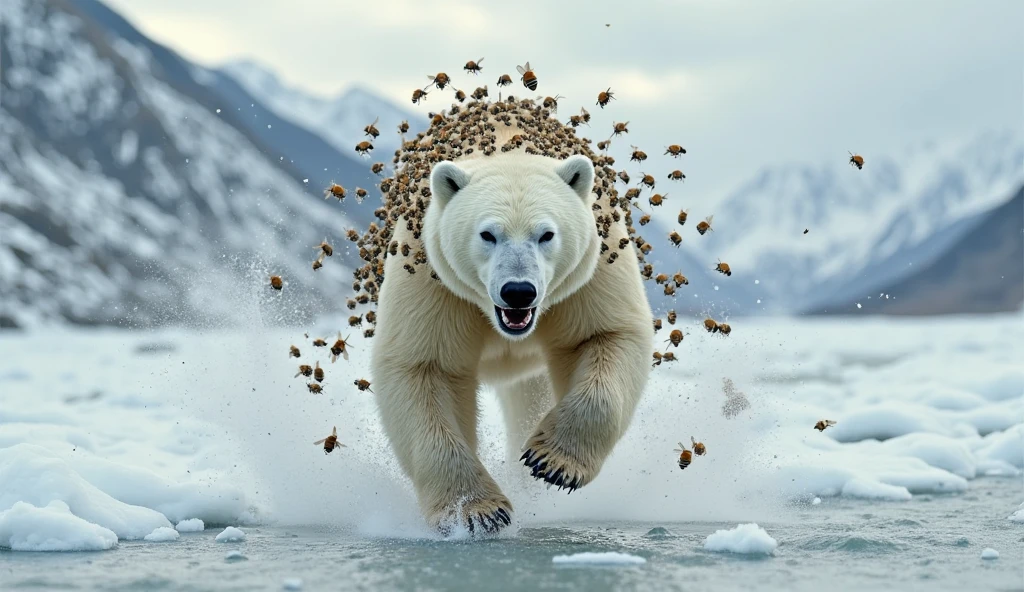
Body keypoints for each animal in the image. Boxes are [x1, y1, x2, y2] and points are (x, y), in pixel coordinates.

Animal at [370, 121, 653, 535]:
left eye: (546, 234)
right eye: (488, 234)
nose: (518, 291)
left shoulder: (593, 267)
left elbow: (604, 335)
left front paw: (551, 462)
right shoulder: (430, 274)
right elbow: (424, 366)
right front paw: (476, 512)